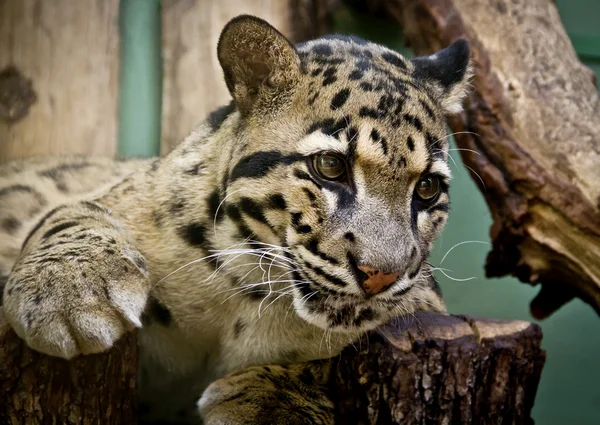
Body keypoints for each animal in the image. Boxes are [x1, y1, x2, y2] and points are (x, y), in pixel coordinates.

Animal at [1, 14, 474, 422]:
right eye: (330, 166)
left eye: (427, 188)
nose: (381, 275)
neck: (248, 290)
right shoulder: (122, 191)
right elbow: (74, 212)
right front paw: (68, 296)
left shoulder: (425, 302)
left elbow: (333, 354)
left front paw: (274, 402)